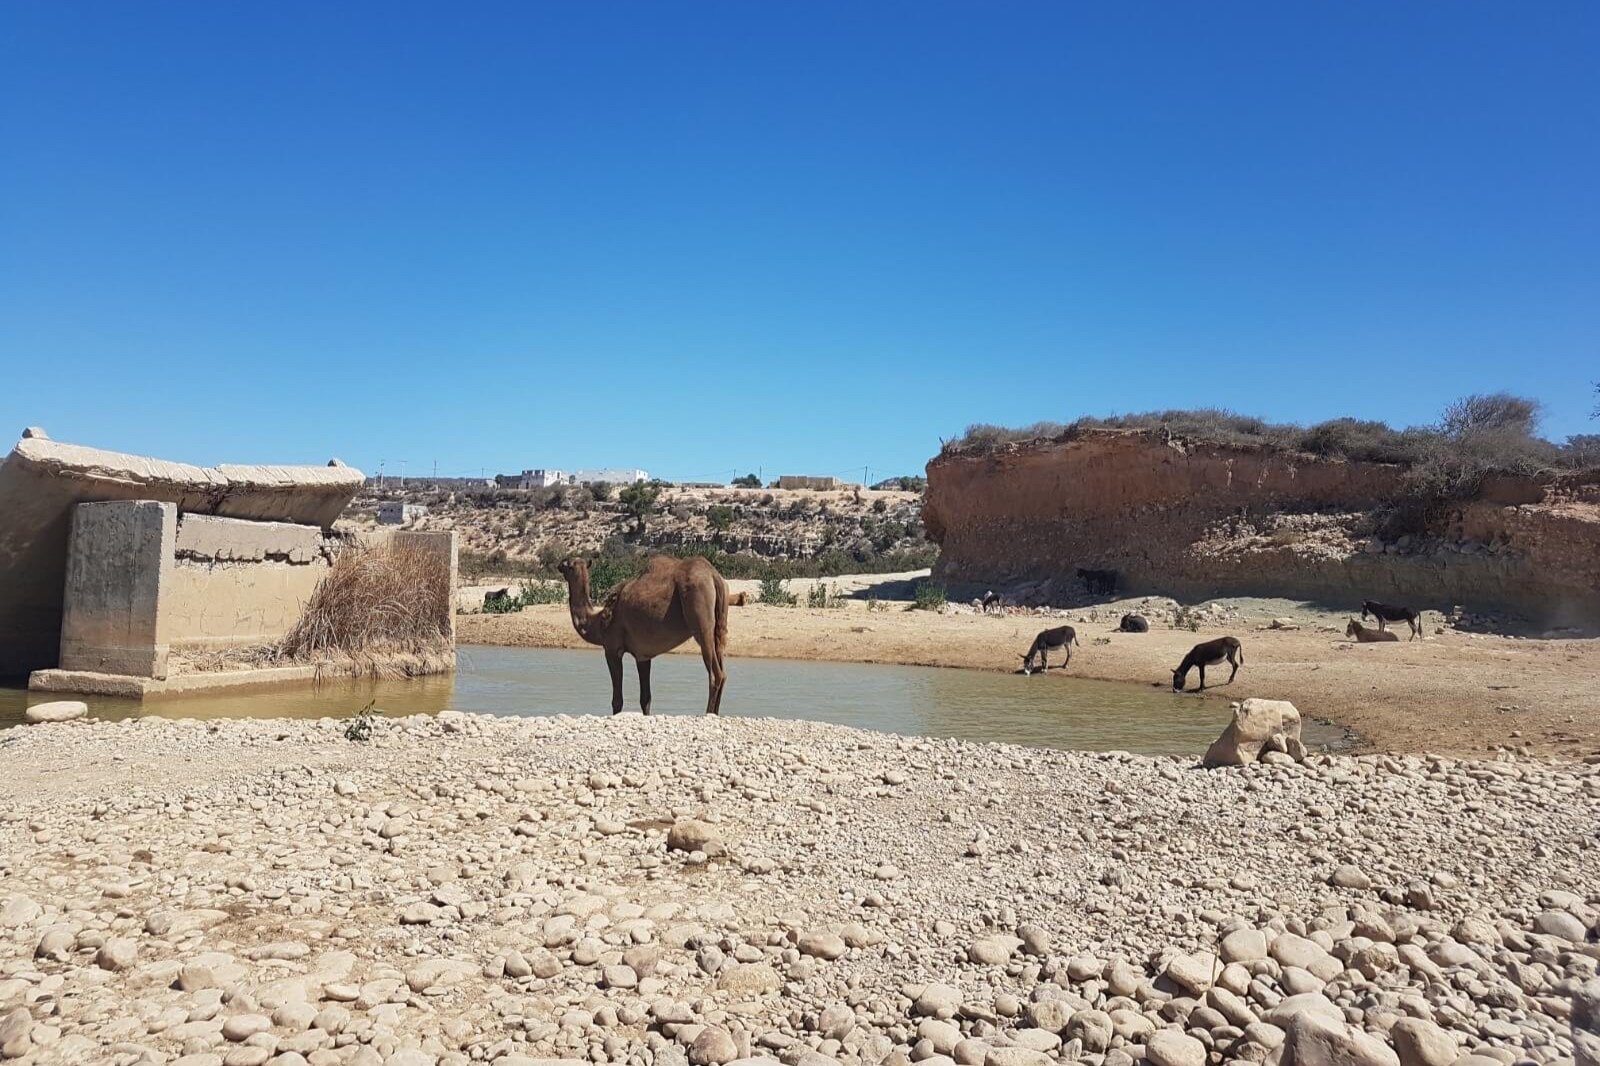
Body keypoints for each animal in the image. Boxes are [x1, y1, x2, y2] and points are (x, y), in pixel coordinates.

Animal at [560, 557, 729, 713]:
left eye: (567, 563)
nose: (559, 564)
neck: (599, 622)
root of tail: (714, 576)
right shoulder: (643, 656)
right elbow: (645, 698)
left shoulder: (612, 649)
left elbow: (617, 700)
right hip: (719, 626)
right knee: (723, 669)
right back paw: (716, 713)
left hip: (701, 618)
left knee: (715, 674)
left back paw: (708, 713)